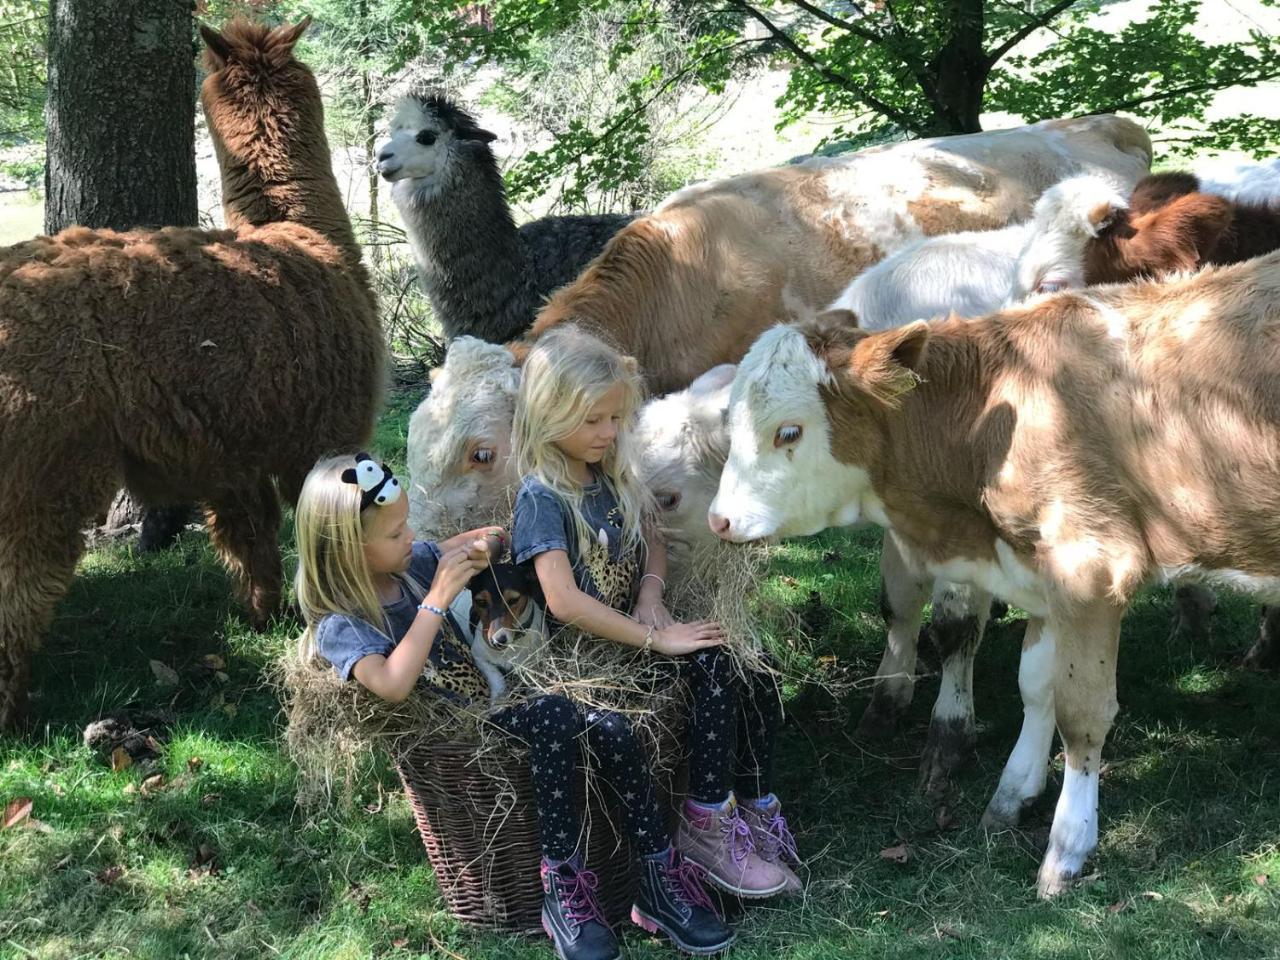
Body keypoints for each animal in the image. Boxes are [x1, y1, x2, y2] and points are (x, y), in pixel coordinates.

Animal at [706, 253, 1280, 896]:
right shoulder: (1041, 574)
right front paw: (1011, 795)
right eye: (730, 422)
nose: (719, 519)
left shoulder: (1091, 568)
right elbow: (1037, 686)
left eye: (788, 431)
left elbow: (1081, 712)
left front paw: (1067, 847)